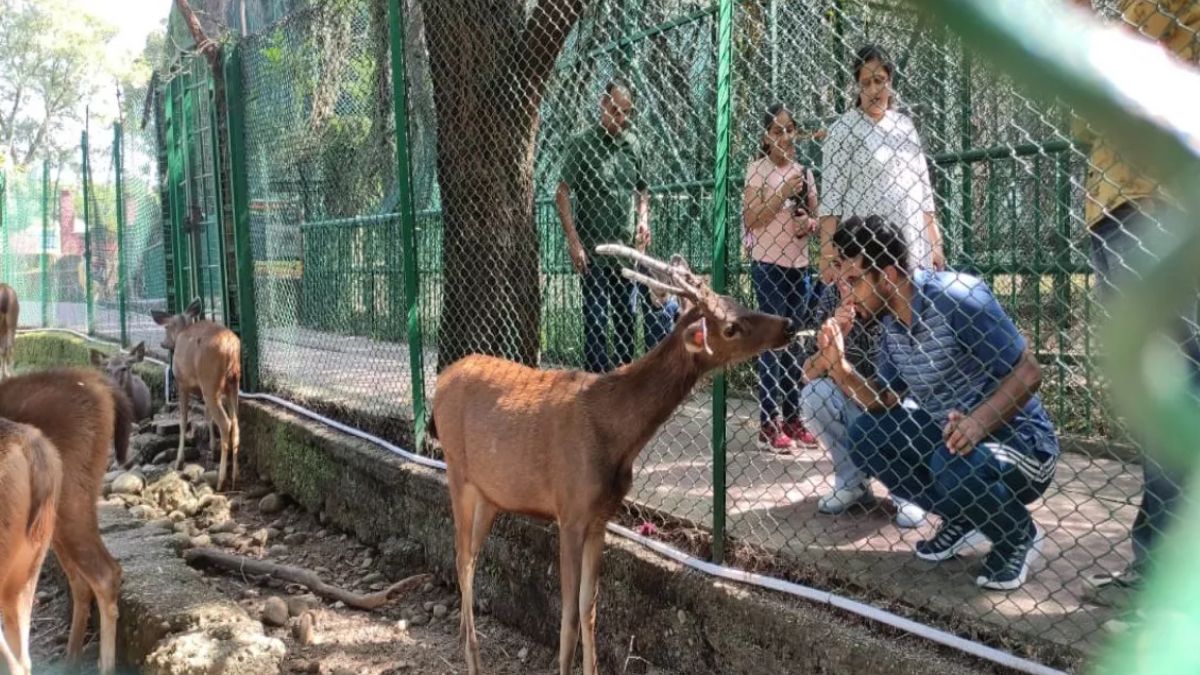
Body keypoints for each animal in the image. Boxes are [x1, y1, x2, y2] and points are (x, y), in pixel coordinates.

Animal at [151, 298, 242, 491]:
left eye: (166, 326)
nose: (163, 343)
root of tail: (230, 348)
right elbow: (207, 416)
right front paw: (212, 448)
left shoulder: (182, 383)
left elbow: (183, 421)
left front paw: (179, 461)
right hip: (232, 383)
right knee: (236, 423)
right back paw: (235, 475)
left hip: (210, 382)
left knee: (226, 423)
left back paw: (221, 480)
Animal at [428, 245, 800, 675]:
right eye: (730, 328)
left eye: (734, 299)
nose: (789, 324)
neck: (617, 438)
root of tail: (440, 381)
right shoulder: (570, 511)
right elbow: (568, 616)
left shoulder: (600, 516)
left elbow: (590, 610)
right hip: (457, 470)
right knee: (462, 559)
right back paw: (472, 657)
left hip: (492, 493)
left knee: (470, 556)